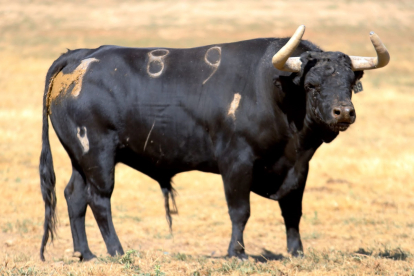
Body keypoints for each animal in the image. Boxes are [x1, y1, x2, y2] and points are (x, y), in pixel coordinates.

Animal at [38, 33, 384, 260]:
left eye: (350, 83)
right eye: (312, 84)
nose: (344, 112)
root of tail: (80, 54)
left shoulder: (299, 167)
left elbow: (292, 211)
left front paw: (297, 252)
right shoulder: (236, 161)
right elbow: (240, 210)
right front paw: (237, 253)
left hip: (80, 158)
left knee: (74, 196)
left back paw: (86, 254)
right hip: (97, 154)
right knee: (99, 200)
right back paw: (116, 251)